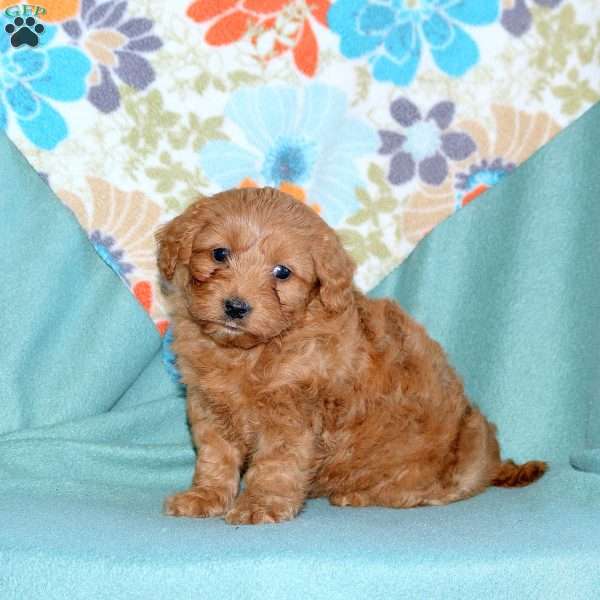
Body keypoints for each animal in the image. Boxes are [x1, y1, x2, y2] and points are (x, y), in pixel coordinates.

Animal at [157, 188, 548, 524]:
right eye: (219, 254)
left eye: (282, 272)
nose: (236, 307)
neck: (249, 352)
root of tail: (491, 465)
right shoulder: (208, 405)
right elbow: (216, 457)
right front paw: (205, 496)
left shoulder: (293, 414)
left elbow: (275, 464)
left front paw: (259, 504)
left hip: (465, 444)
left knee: (437, 491)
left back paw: (361, 494)